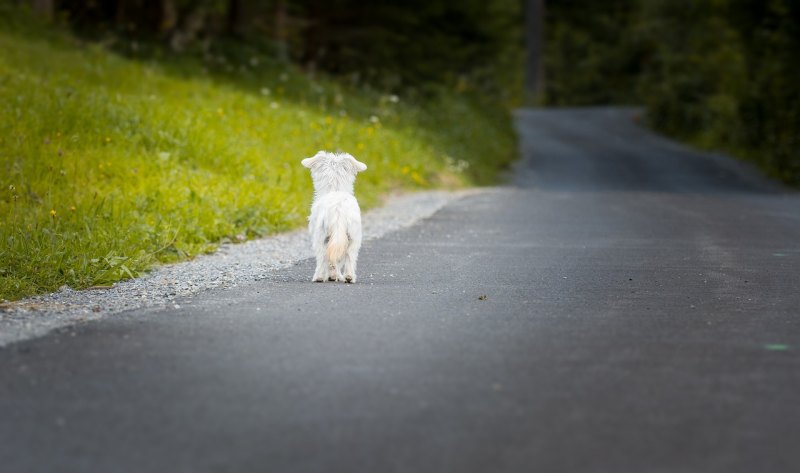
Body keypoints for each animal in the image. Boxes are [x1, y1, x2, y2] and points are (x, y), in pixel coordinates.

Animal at [302, 151, 368, 282]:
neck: (335, 188)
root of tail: (338, 211)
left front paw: (332, 275)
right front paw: (335, 275)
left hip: (320, 236)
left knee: (322, 257)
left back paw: (319, 277)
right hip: (353, 237)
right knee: (349, 256)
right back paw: (349, 277)